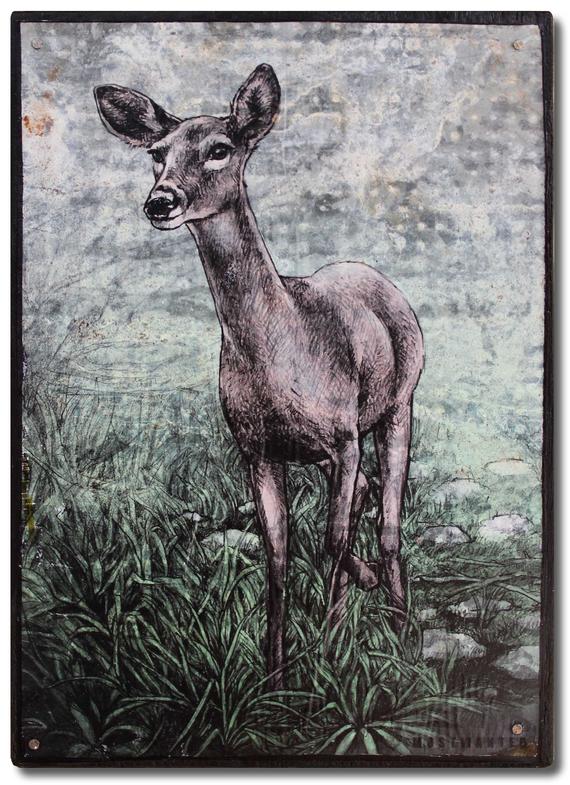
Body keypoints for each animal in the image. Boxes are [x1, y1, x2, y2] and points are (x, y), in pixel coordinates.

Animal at [94, 64, 423, 690]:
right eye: (157, 154)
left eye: (221, 149)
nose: (160, 201)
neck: (278, 349)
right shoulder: (257, 448)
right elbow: (277, 556)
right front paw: (275, 675)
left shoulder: (344, 436)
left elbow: (331, 541)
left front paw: (328, 649)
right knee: (366, 498)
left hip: (398, 406)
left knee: (390, 524)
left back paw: (400, 631)